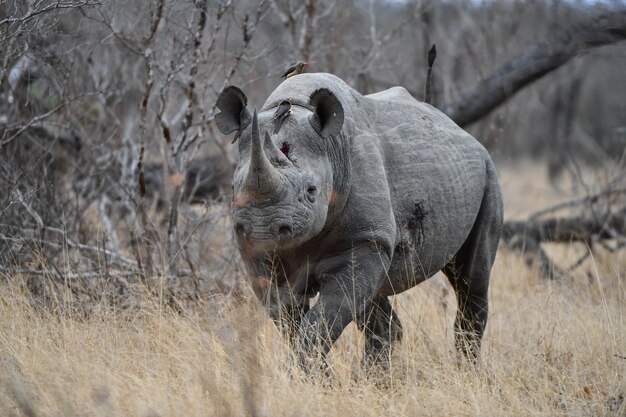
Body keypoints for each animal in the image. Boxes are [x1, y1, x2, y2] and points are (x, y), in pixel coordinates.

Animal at [214, 73, 502, 366]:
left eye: (311, 191)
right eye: (234, 189)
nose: (262, 229)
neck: (330, 148)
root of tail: (460, 130)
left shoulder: (367, 238)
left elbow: (325, 317)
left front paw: (305, 370)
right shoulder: (257, 253)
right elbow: (288, 317)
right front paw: (310, 373)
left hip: (487, 171)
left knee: (472, 279)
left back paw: (466, 367)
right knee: (376, 301)